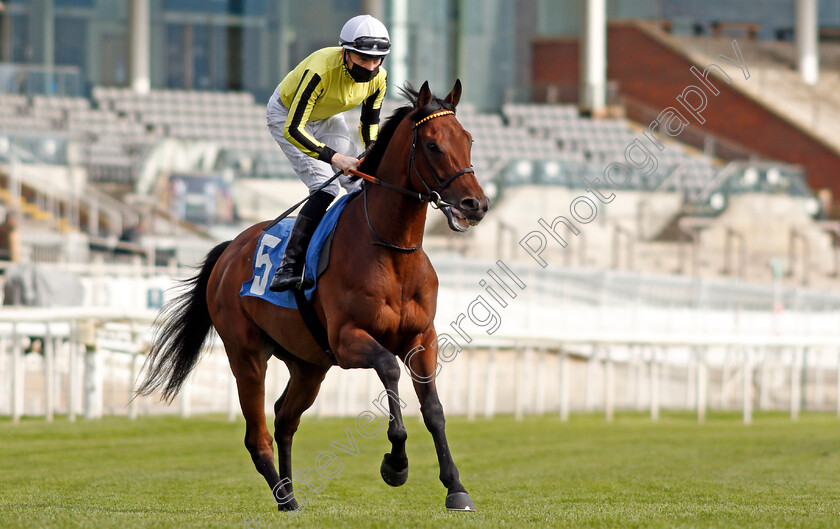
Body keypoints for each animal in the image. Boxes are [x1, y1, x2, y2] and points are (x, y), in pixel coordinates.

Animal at [137, 79, 488, 512]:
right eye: (433, 144)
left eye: (468, 139)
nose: (476, 204)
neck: (391, 251)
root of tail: (230, 249)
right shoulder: (348, 339)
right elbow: (388, 368)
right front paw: (396, 464)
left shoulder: (422, 338)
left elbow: (434, 410)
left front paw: (455, 487)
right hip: (246, 355)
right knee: (257, 436)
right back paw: (284, 497)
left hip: (308, 365)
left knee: (284, 419)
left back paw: (289, 491)